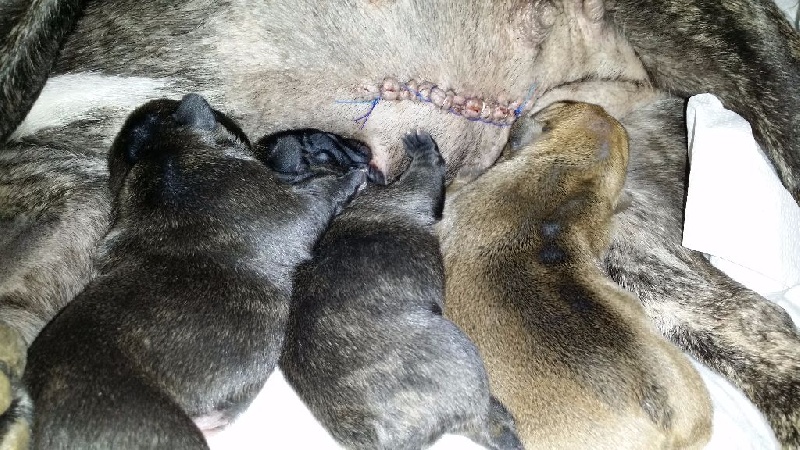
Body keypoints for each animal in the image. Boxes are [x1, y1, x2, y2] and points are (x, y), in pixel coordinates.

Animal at [277, 129, 522, 450]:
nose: (364, 147)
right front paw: (421, 148)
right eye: (324, 140)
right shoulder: (409, 190)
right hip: (456, 350)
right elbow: (425, 173)